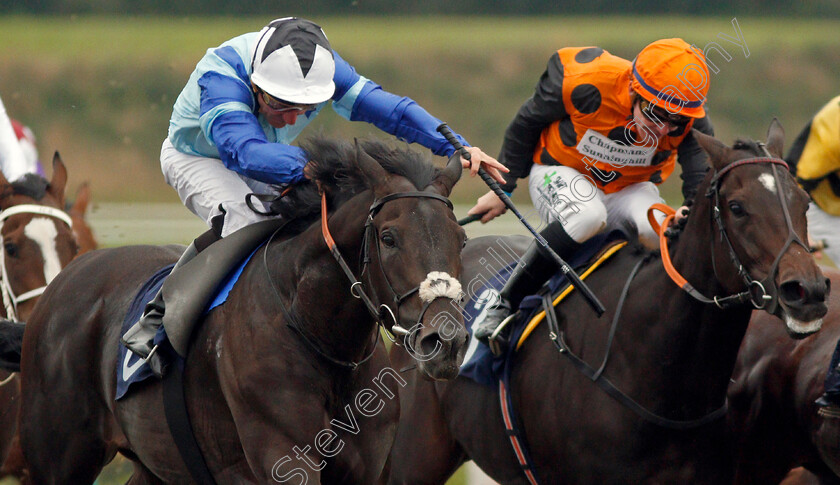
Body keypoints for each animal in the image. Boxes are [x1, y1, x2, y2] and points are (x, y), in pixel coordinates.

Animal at [14, 137, 472, 484]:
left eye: (461, 239)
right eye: (390, 237)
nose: (446, 341)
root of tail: (69, 274)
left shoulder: (363, 470)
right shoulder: (283, 461)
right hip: (58, 458)